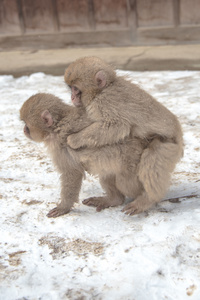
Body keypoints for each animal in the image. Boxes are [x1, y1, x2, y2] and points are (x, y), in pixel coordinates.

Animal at [20, 92, 148, 217]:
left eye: (27, 125)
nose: (24, 130)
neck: (57, 126)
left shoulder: (61, 147)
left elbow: (72, 172)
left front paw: (64, 207)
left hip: (132, 163)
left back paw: (146, 200)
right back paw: (115, 199)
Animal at [65, 56, 184, 216]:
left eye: (76, 89)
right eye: (71, 88)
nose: (72, 97)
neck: (103, 89)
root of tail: (180, 134)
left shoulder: (105, 102)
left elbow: (116, 126)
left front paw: (74, 140)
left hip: (169, 146)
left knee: (151, 163)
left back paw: (147, 200)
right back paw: (114, 199)